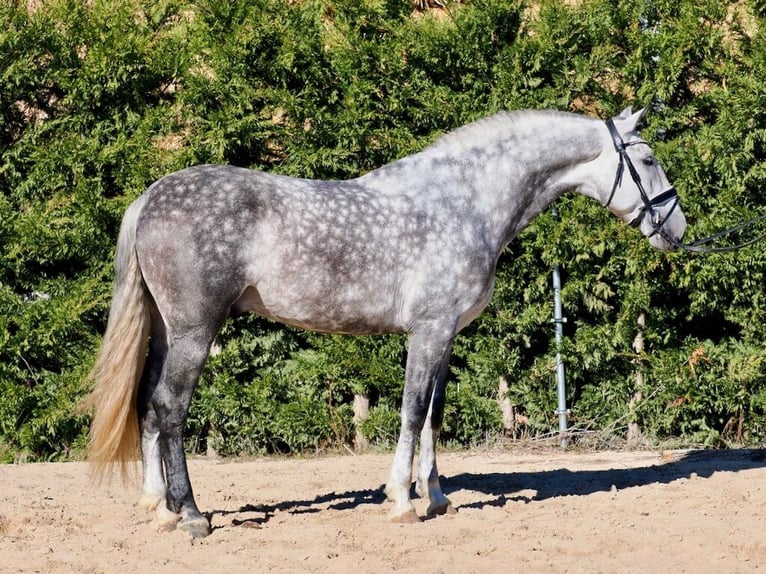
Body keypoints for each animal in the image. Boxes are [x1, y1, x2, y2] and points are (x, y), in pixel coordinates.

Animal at [85, 107, 688, 540]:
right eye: (648, 159)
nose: (678, 229)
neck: (464, 203)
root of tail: (151, 196)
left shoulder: (446, 336)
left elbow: (434, 416)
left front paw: (437, 497)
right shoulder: (428, 331)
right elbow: (412, 410)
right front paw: (401, 501)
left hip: (165, 332)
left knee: (147, 404)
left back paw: (158, 507)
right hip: (195, 331)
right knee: (170, 408)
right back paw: (190, 514)